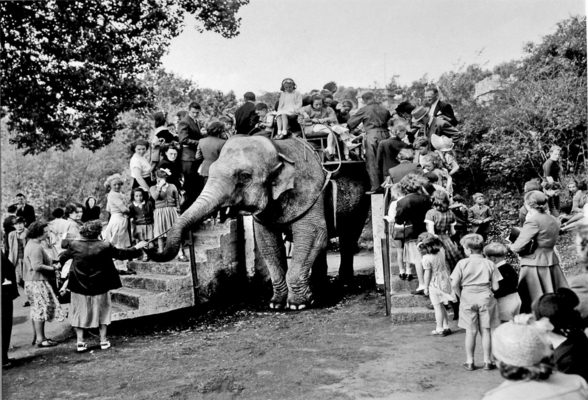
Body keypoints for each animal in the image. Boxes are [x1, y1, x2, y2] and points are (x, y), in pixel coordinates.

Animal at [147, 136, 368, 310]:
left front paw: (297, 305)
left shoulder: (309, 192)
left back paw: (344, 285)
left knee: (349, 236)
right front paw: (276, 304)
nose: (149, 247)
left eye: (244, 176)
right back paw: (319, 286)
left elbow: (312, 235)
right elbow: (267, 243)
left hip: (362, 200)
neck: (279, 149)